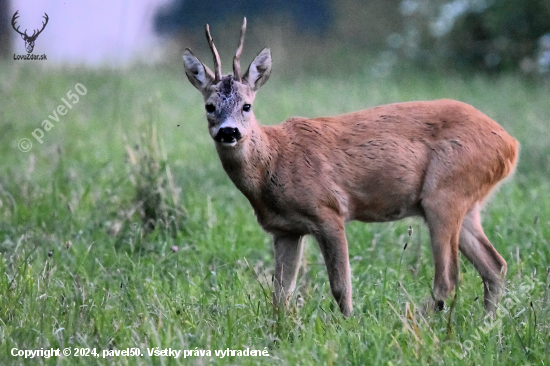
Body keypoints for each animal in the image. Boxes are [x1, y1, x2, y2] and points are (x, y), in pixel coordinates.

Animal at [183, 17, 520, 318]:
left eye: (247, 106)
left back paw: (410, 322)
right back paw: (487, 324)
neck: (274, 163)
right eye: (209, 106)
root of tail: (510, 144)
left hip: (444, 194)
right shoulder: (285, 229)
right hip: (466, 203)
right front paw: (278, 331)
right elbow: (281, 292)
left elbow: (340, 285)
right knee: (495, 266)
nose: (229, 132)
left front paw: (347, 325)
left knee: (449, 277)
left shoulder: (328, 211)